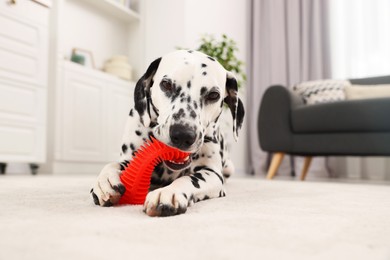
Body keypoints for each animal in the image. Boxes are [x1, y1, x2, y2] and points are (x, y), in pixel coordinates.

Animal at [91, 49, 244, 216]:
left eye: (213, 95)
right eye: (166, 84)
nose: (183, 135)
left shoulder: (211, 173)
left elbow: (188, 179)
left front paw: (170, 191)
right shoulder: (131, 157)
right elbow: (114, 164)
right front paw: (106, 179)